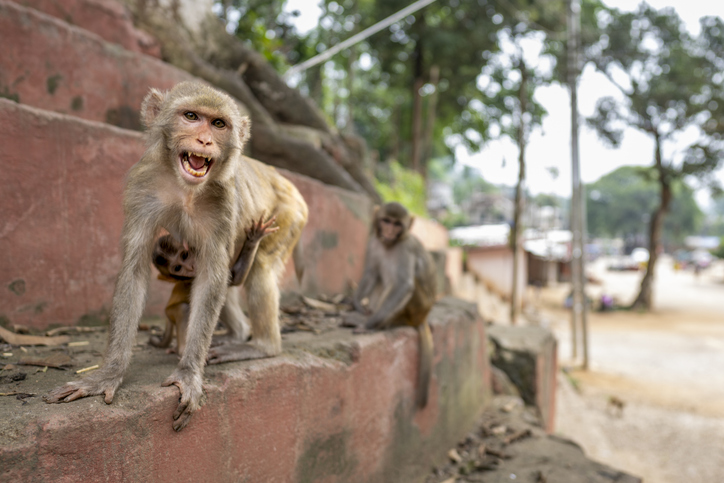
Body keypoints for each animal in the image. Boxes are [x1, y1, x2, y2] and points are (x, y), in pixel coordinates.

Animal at [151, 216, 278, 356]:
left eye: (184, 255)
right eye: (178, 268)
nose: (190, 267)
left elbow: (234, 277)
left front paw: (253, 239)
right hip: (172, 311)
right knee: (183, 309)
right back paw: (182, 349)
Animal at [350, 201, 436, 408]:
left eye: (397, 224)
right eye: (386, 221)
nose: (389, 232)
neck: (390, 244)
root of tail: (424, 317)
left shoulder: (405, 248)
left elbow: (403, 285)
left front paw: (369, 324)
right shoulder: (374, 242)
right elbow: (371, 273)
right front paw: (357, 304)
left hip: (417, 308)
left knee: (401, 283)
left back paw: (390, 322)